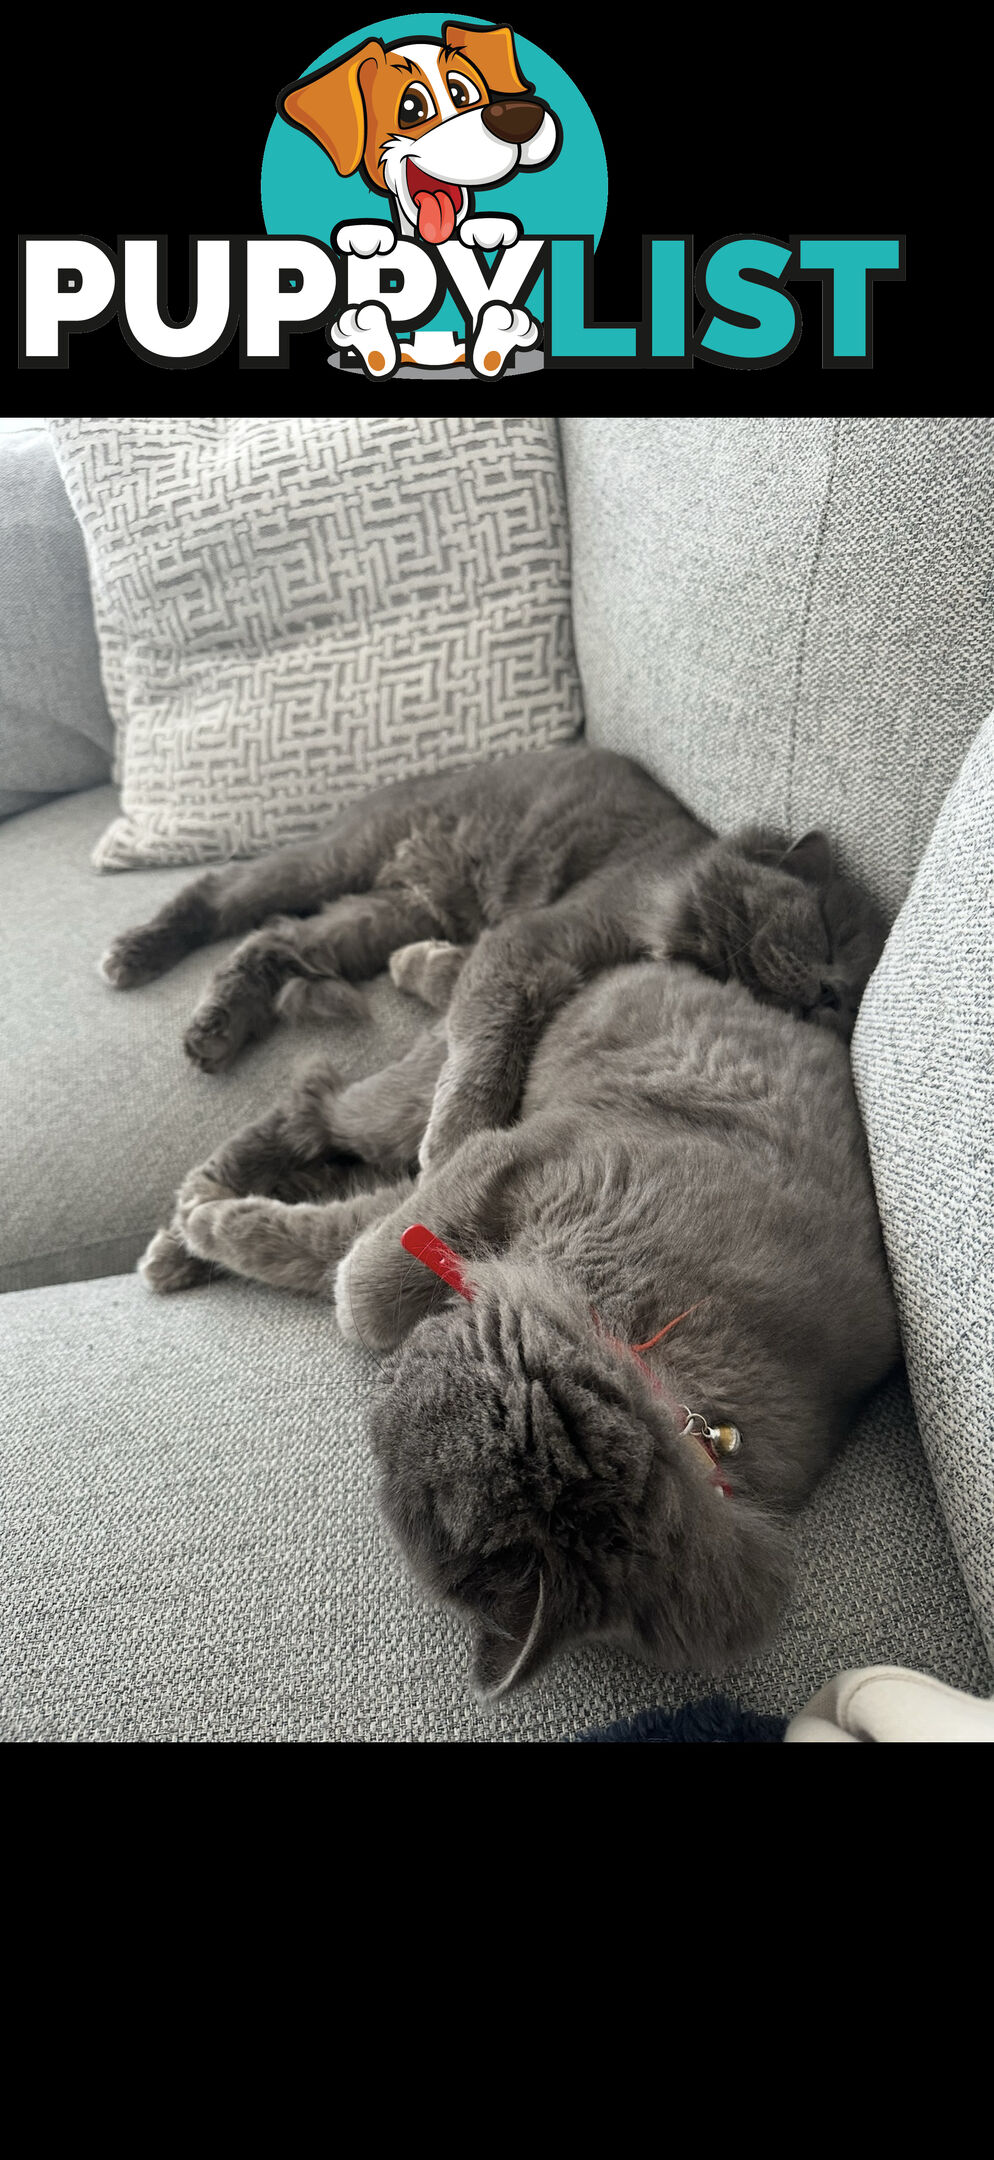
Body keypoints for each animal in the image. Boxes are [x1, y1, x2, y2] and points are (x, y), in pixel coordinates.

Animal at [102, 751, 898, 1693]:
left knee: (293, 970)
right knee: (243, 929)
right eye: (827, 929)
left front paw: (254, 1237)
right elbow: (439, 1140)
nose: (831, 996)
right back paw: (162, 1001)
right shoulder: (535, 977)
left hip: (382, 916)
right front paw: (437, 1147)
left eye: (854, 986)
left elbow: (345, 1246)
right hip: (348, 862)